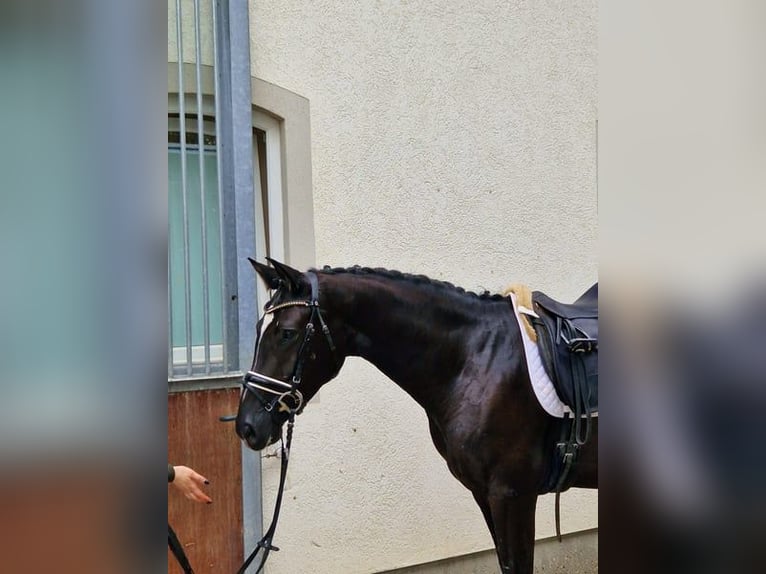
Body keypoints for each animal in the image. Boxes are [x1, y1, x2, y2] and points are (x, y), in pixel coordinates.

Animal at [235, 258, 598, 574]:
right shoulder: (485, 493)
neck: (476, 359)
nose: (247, 426)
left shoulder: (512, 494)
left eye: (286, 333)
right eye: (258, 328)